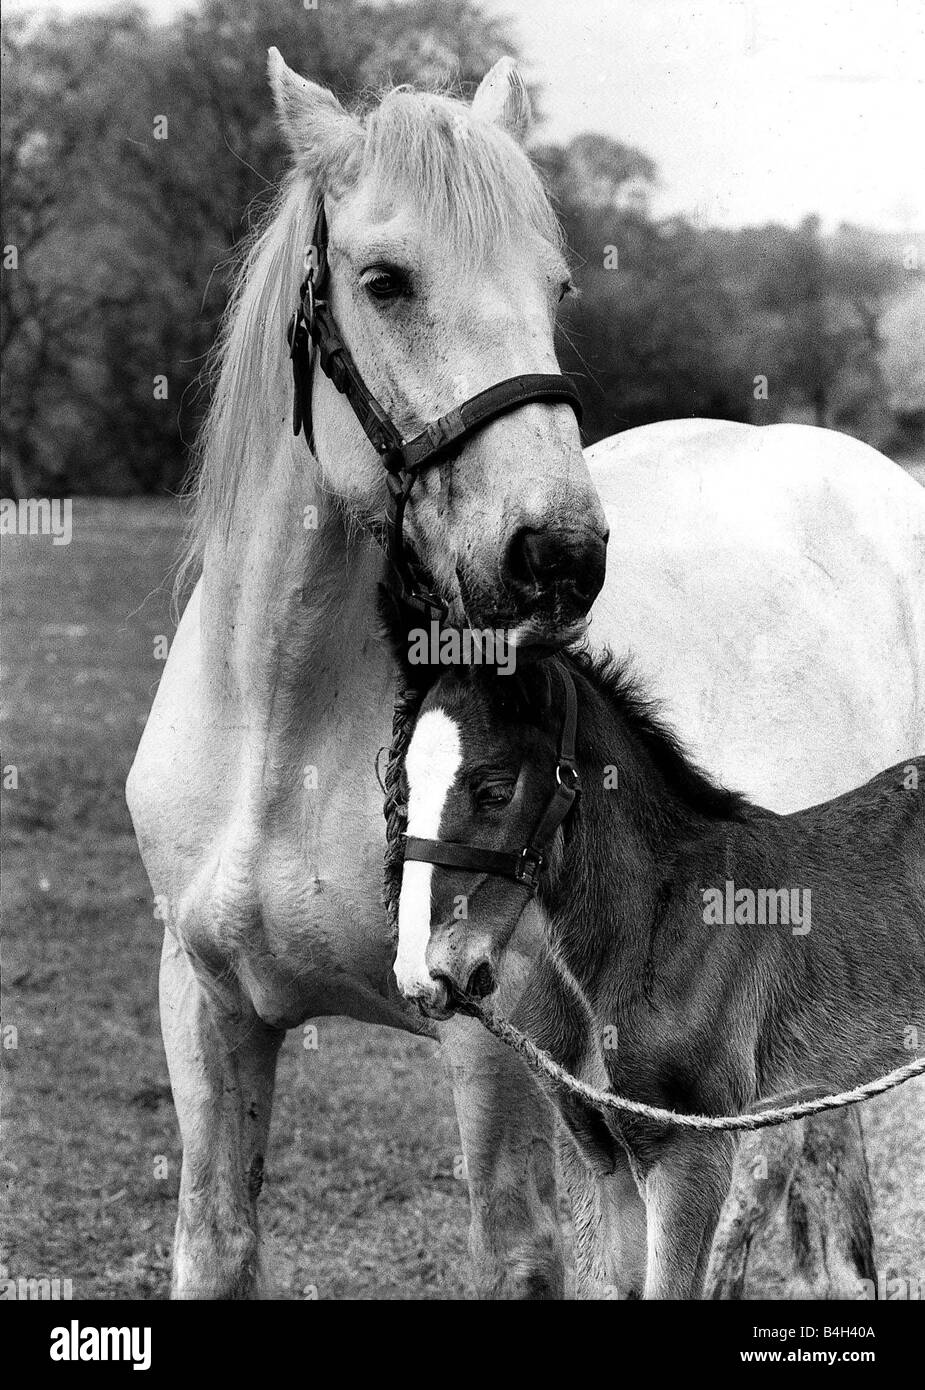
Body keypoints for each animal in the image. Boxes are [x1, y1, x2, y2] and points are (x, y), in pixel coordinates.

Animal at [395, 656, 923, 1295]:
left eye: (494, 790)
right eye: (405, 786)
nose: (420, 975)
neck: (655, 921)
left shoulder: (690, 1149)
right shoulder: (601, 1151)